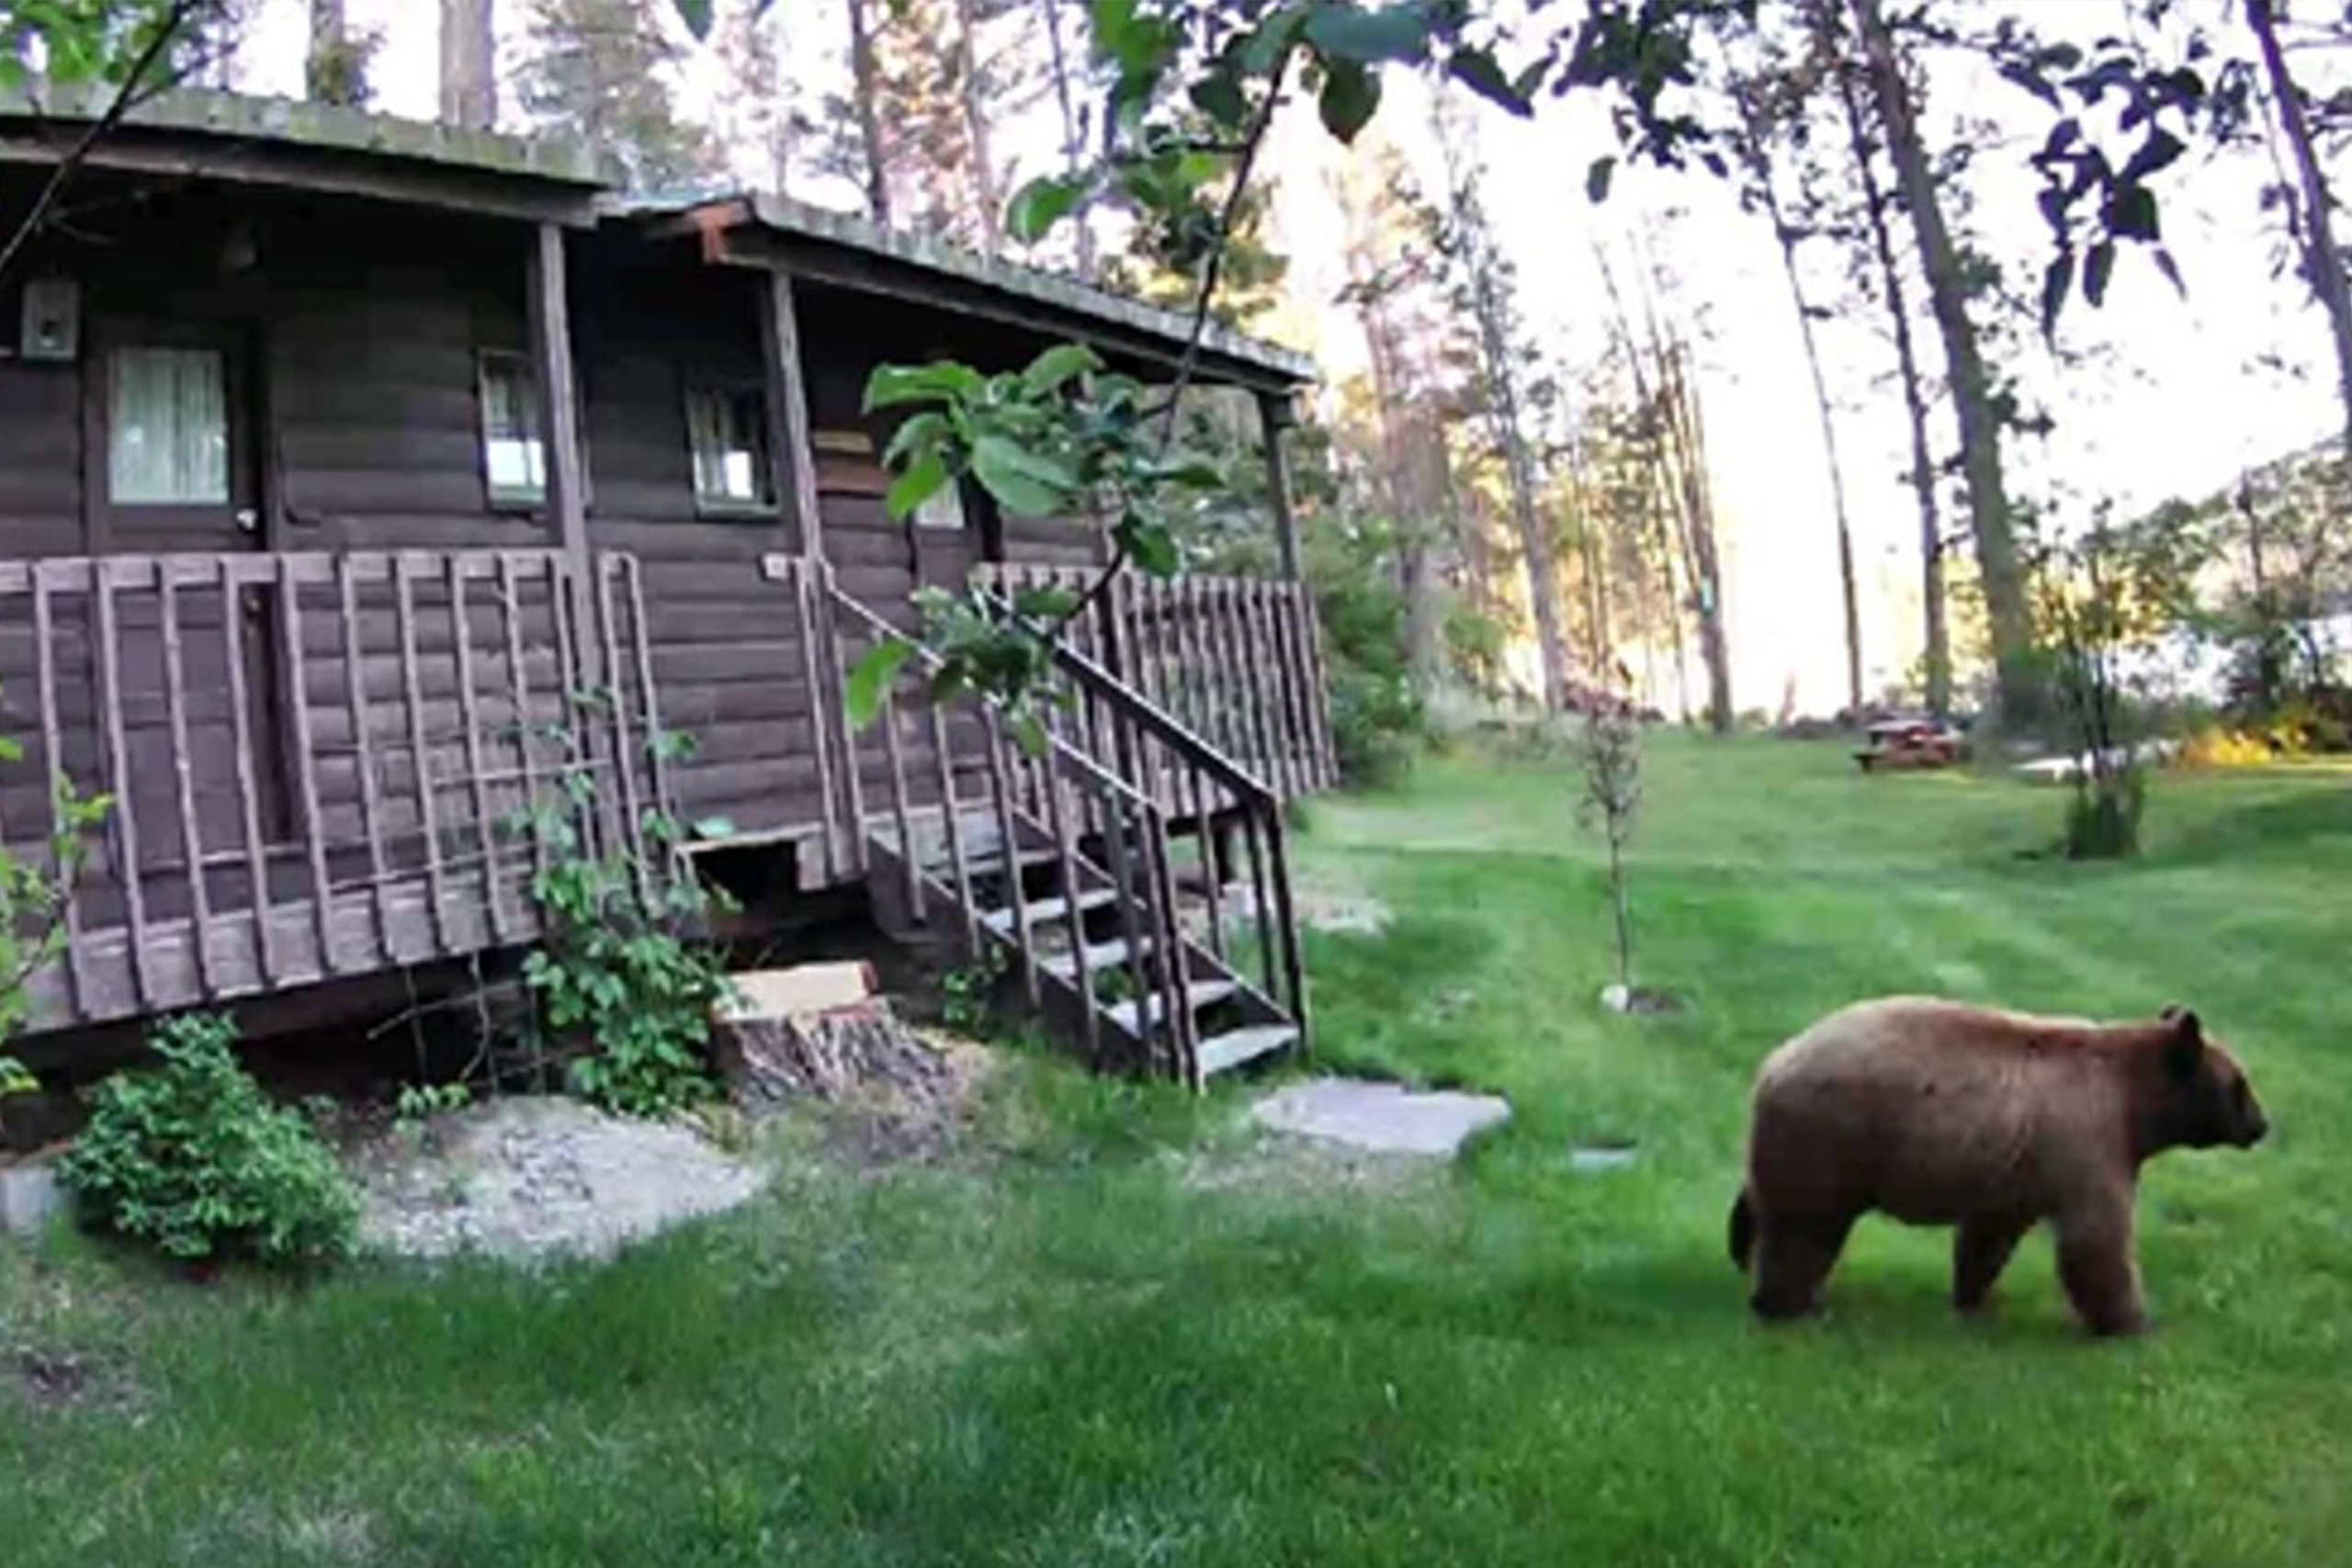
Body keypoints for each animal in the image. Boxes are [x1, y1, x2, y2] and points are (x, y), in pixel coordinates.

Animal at [1728, 997, 2267, 1336]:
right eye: (2240, 1084)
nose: (2261, 1126)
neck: (2132, 1102)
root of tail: (1772, 1066)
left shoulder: (2016, 1169)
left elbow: (1989, 1237)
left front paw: (1974, 1300)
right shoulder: (2088, 1138)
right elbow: (2096, 1237)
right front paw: (2135, 1321)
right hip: (1829, 1138)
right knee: (1803, 1231)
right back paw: (1789, 1304)